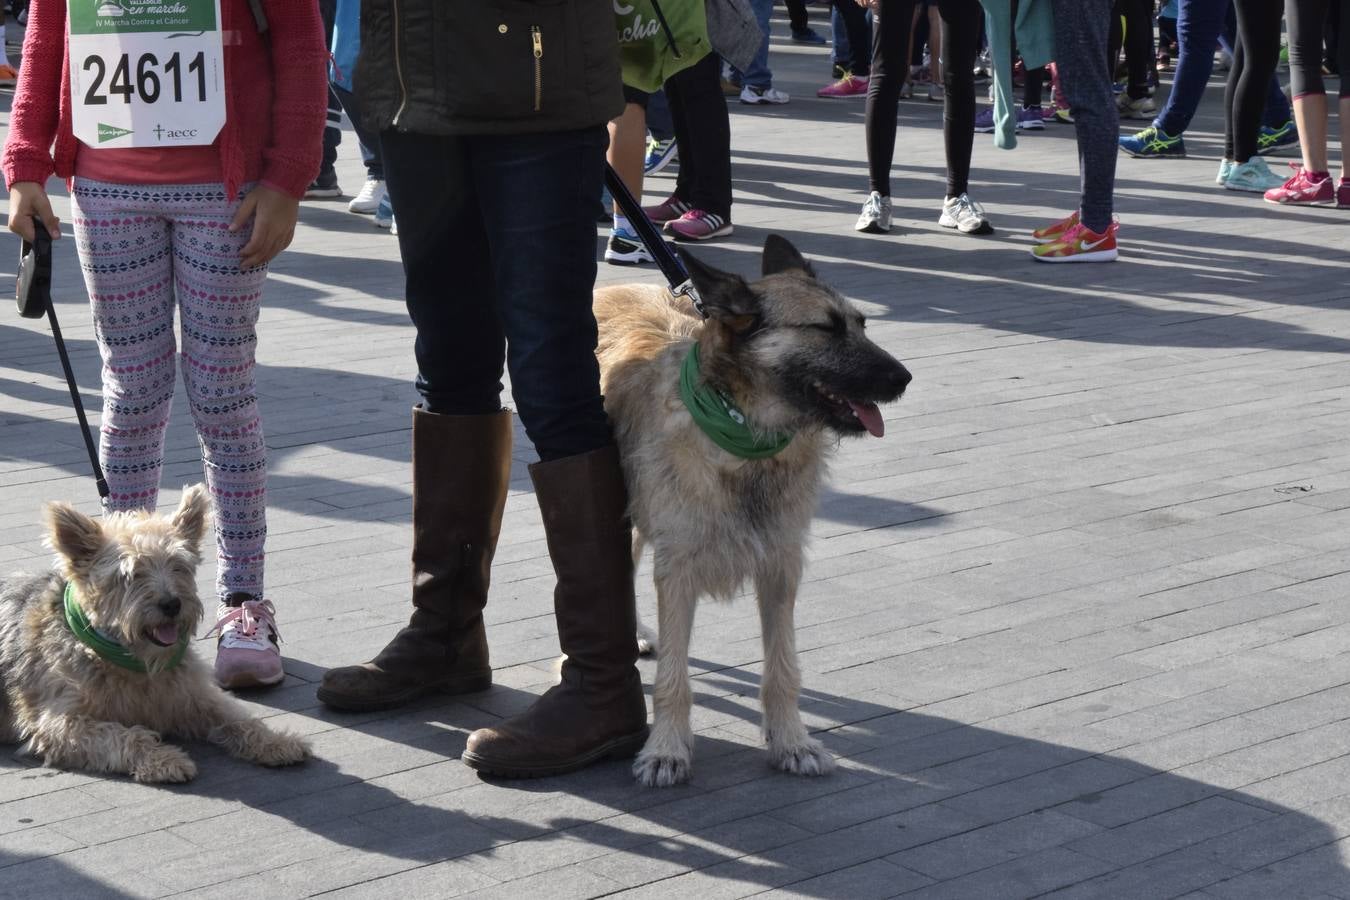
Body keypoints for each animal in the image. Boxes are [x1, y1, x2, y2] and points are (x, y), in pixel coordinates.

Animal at [0, 485, 309, 782]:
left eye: (179, 566)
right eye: (129, 575)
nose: (171, 604)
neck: (130, 661)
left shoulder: (194, 696)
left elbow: (237, 717)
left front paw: (276, 742)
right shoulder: (60, 723)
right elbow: (123, 735)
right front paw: (164, 760)